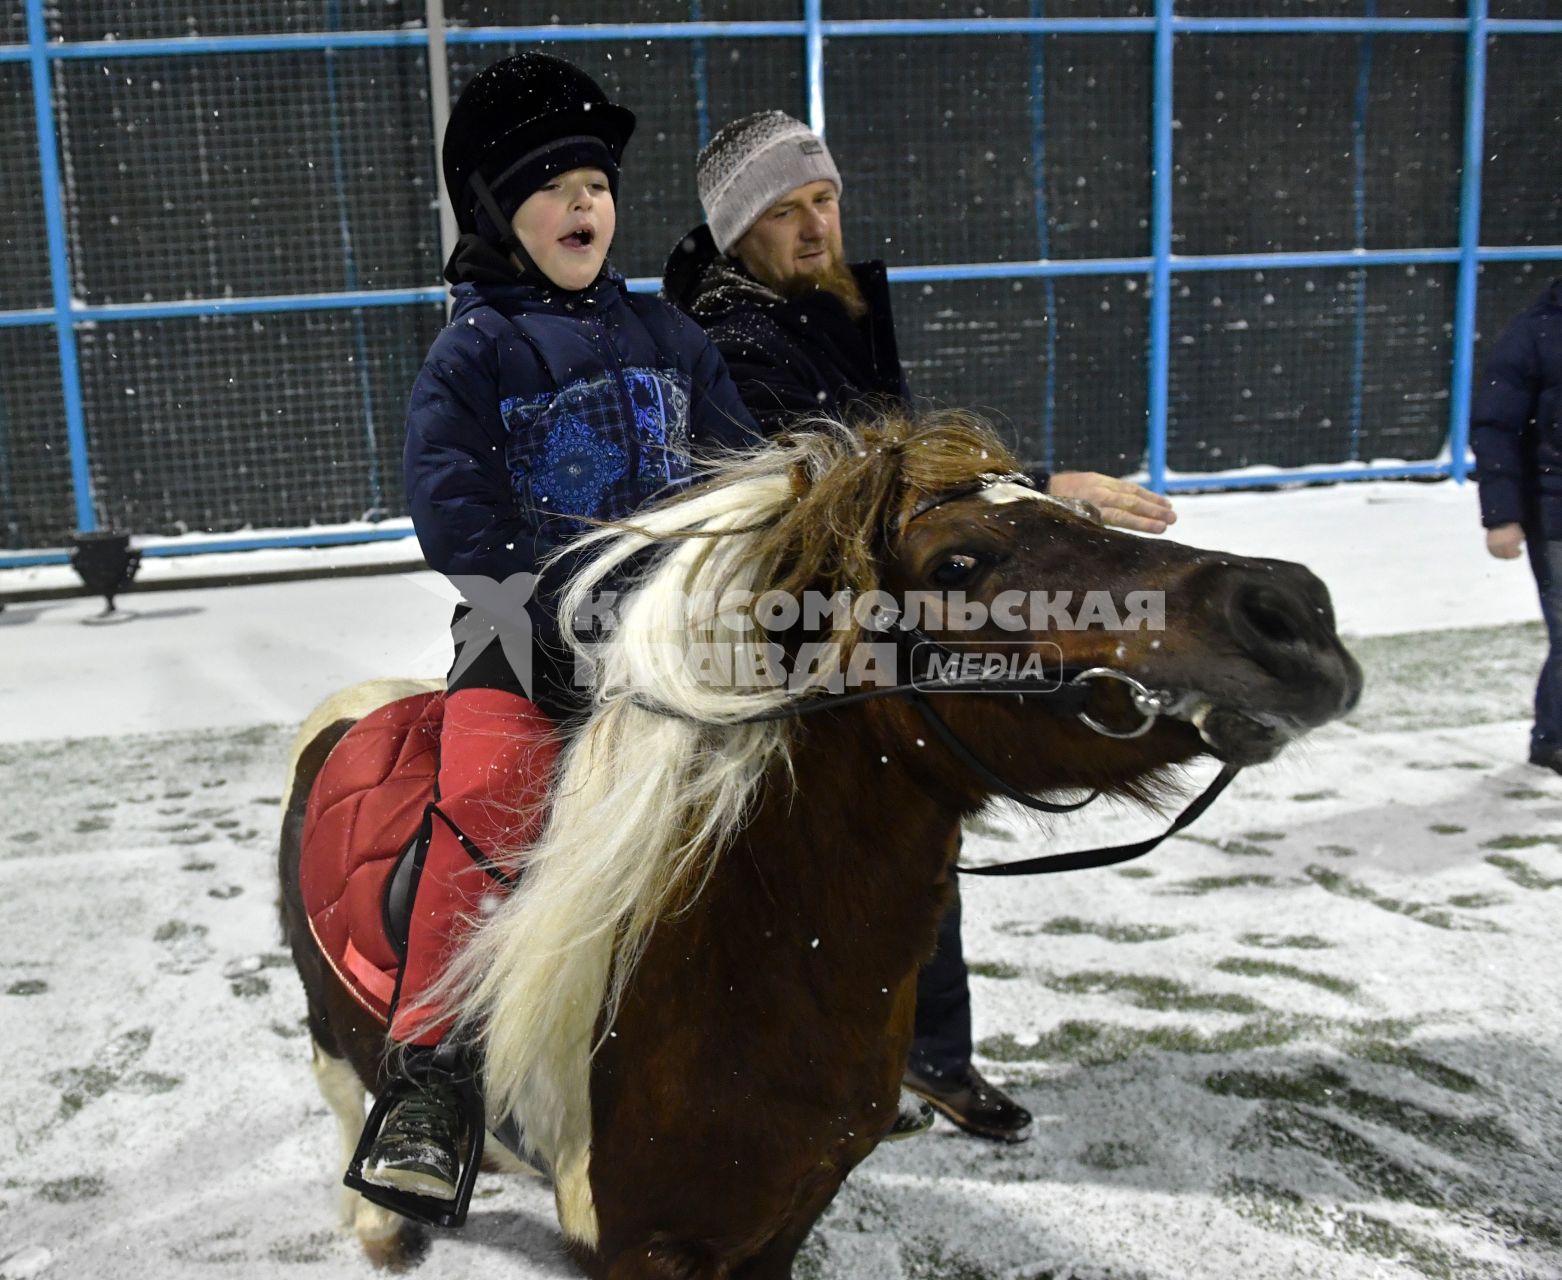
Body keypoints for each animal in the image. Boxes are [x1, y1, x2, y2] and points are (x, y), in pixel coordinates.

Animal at [281, 415, 1368, 1275]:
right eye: (956, 563)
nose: (1293, 613)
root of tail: (348, 714)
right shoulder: (642, 1244)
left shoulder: (784, 1217)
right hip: (331, 1033)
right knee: (344, 1099)